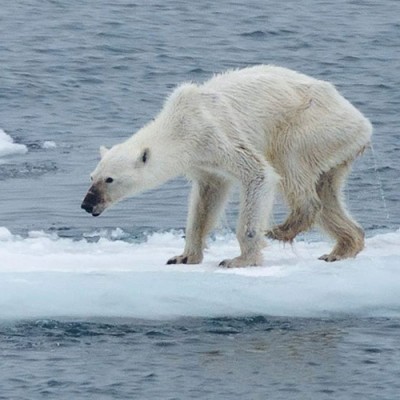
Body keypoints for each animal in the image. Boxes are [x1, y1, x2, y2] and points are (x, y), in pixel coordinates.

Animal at [80, 65, 372, 268]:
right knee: (327, 192)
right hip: (335, 147)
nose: (86, 204)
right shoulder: (203, 162)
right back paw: (341, 248)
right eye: (92, 177)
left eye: (109, 179)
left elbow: (259, 174)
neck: (180, 125)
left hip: (312, 126)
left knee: (290, 163)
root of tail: (363, 123)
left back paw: (283, 229)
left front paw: (239, 260)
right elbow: (206, 200)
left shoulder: (215, 134)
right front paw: (183, 256)